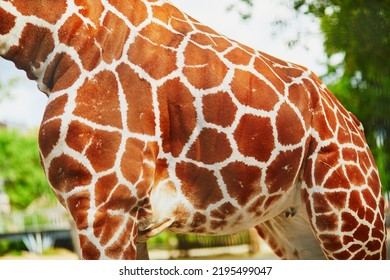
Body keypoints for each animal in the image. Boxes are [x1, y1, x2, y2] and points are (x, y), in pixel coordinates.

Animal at [0, 0, 386, 260]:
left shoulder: (104, 202)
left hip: (352, 221)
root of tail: (354, 122)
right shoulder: (128, 218)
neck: (61, 38)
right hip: (296, 226)